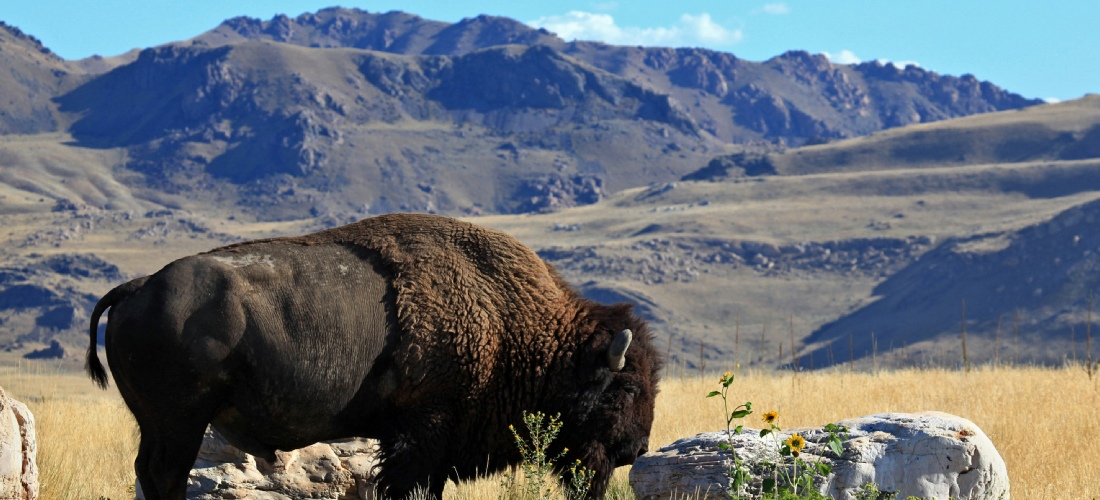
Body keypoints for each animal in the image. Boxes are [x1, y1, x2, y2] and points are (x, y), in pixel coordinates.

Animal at [88, 214, 660, 500]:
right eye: (627, 386)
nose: (635, 448)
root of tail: (139, 286)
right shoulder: (423, 431)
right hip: (179, 422)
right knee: (166, 477)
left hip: (159, 424)